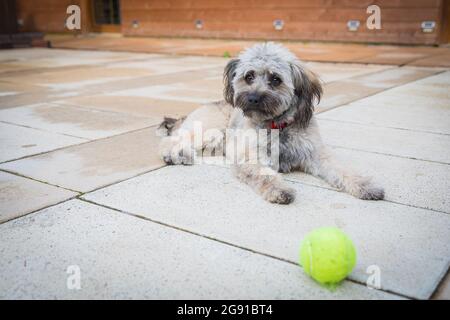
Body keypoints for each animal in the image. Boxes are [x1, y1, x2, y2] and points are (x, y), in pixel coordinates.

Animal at [157, 42, 384, 205]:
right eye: (249, 76)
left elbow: (342, 169)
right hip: (209, 130)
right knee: (174, 139)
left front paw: (364, 185)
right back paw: (175, 154)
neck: (276, 125)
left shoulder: (316, 153)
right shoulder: (250, 155)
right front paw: (279, 189)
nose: (253, 98)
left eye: (276, 79)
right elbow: (264, 174)